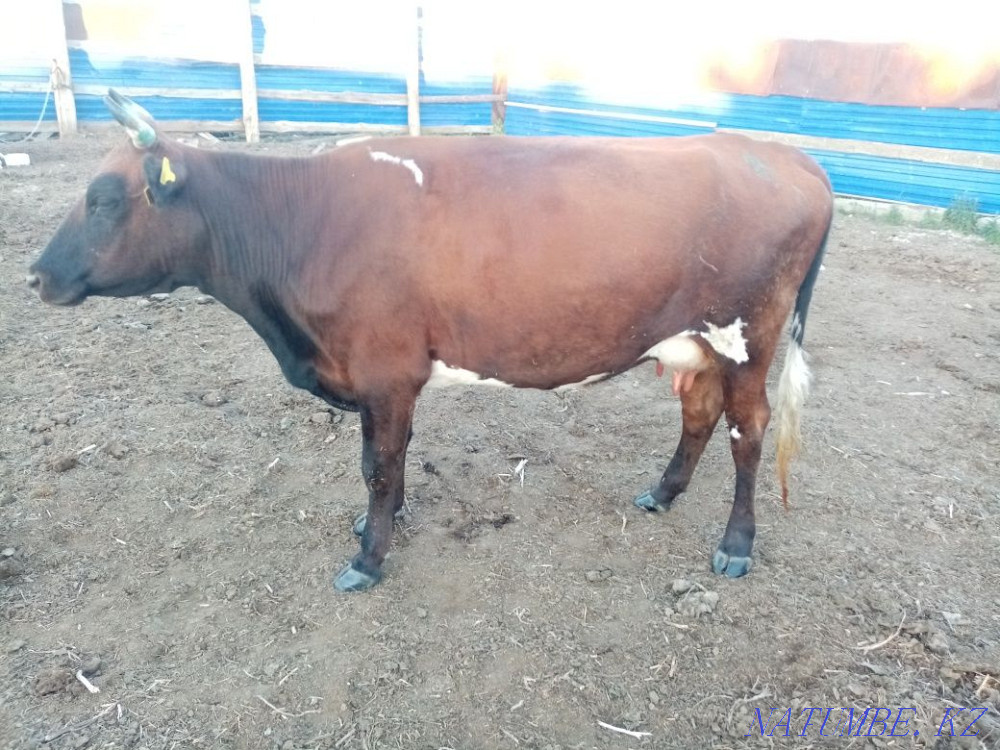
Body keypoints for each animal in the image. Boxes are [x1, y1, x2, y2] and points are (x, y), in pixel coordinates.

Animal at [28, 90, 833, 592]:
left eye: (103, 199)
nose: (36, 276)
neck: (300, 223)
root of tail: (788, 157)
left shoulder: (385, 372)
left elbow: (381, 468)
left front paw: (368, 558)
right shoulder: (378, 378)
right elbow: (380, 462)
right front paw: (375, 527)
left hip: (750, 335)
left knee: (749, 430)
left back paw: (735, 546)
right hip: (696, 343)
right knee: (700, 414)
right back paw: (661, 494)